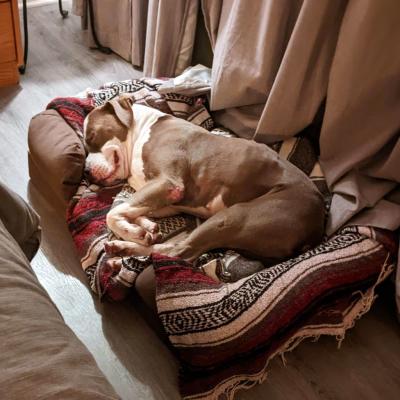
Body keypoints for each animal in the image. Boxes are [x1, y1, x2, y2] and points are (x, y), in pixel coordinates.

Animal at [84, 95, 324, 264]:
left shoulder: (168, 183)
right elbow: (132, 207)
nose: (85, 172)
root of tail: (317, 226)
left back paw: (124, 247)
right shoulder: (167, 198)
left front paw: (133, 231)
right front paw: (147, 226)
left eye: (91, 136)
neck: (140, 129)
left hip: (232, 216)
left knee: (180, 251)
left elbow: (114, 212)